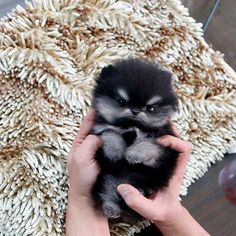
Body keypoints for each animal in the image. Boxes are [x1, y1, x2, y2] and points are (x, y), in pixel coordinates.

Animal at [90, 58, 179, 222]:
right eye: (121, 102)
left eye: (150, 108)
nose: (136, 110)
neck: (132, 125)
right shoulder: (98, 129)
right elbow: (111, 132)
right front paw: (115, 150)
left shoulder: (166, 149)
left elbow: (150, 145)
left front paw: (134, 154)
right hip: (108, 179)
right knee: (106, 193)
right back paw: (111, 208)